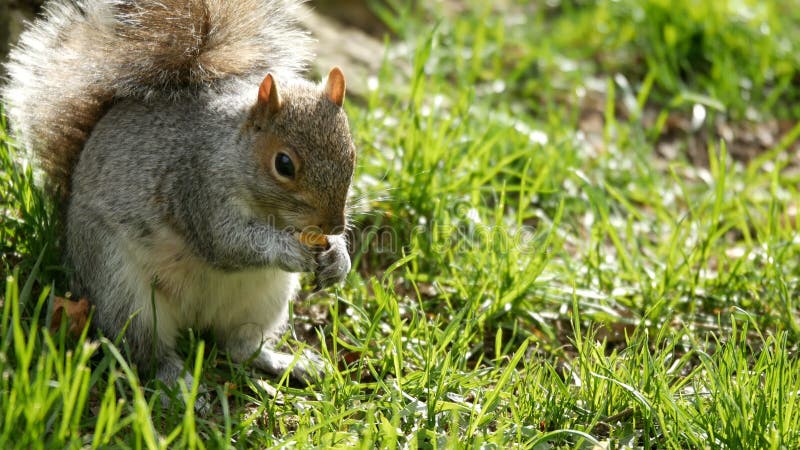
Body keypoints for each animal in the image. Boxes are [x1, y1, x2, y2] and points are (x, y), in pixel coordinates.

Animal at [1, 0, 354, 386]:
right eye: (284, 164)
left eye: (351, 153)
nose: (334, 226)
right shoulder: (196, 187)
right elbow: (227, 243)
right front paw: (290, 250)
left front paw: (339, 258)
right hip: (123, 292)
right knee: (145, 351)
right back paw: (181, 382)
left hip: (263, 300)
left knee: (239, 347)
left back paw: (286, 362)